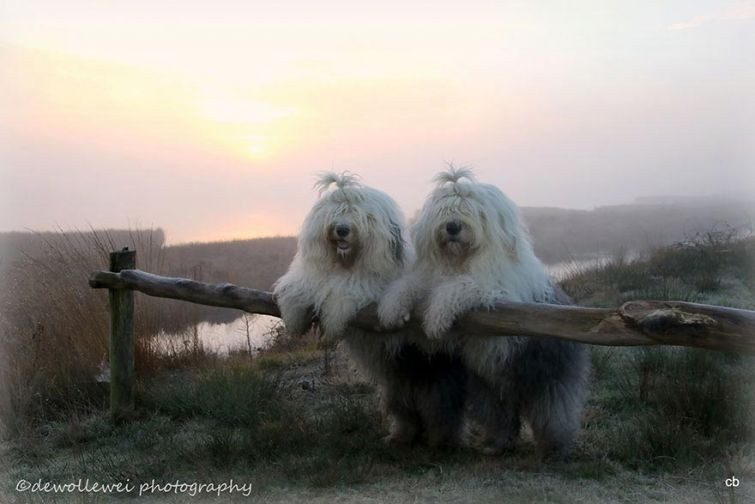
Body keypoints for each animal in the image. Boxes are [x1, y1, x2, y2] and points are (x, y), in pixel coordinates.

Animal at [274, 173, 470, 444]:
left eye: (361, 215)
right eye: (334, 212)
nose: (342, 229)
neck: (347, 264)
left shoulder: (371, 287)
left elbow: (347, 294)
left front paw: (332, 319)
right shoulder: (315, 275)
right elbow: (299, 288)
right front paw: (293, 318)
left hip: (433, 373)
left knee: (442, 407)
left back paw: (442, 439)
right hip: (396, 385)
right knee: (405, 409)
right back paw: (401, 436)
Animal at [378, 168, 592, 456]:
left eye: (474, 211)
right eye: (445, 210)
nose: (453, 227)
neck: (460, 260)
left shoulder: (499, 291)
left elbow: (463, 286)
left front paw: (436, 318)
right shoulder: (428, 278)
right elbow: (409, 284)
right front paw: (391, 309)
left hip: (547, 377)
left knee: (554, 413)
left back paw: (555, 448)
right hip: (487, 389)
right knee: (502, 417)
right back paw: (496, 444)